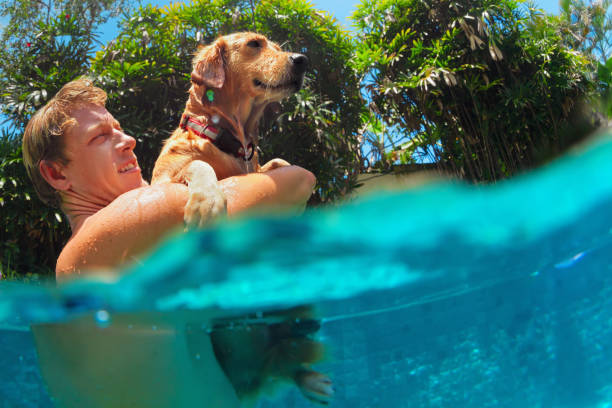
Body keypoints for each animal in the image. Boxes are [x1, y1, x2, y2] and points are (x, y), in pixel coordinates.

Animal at [152, 32, 334, 404]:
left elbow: (279, 163)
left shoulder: (260, 164)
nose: (302, 60)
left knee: (290, 357)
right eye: (254, 44)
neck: (229, 140)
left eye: (277, 47)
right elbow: (198, 164)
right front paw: (207, 201)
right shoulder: (160, 183)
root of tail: (251, 379)